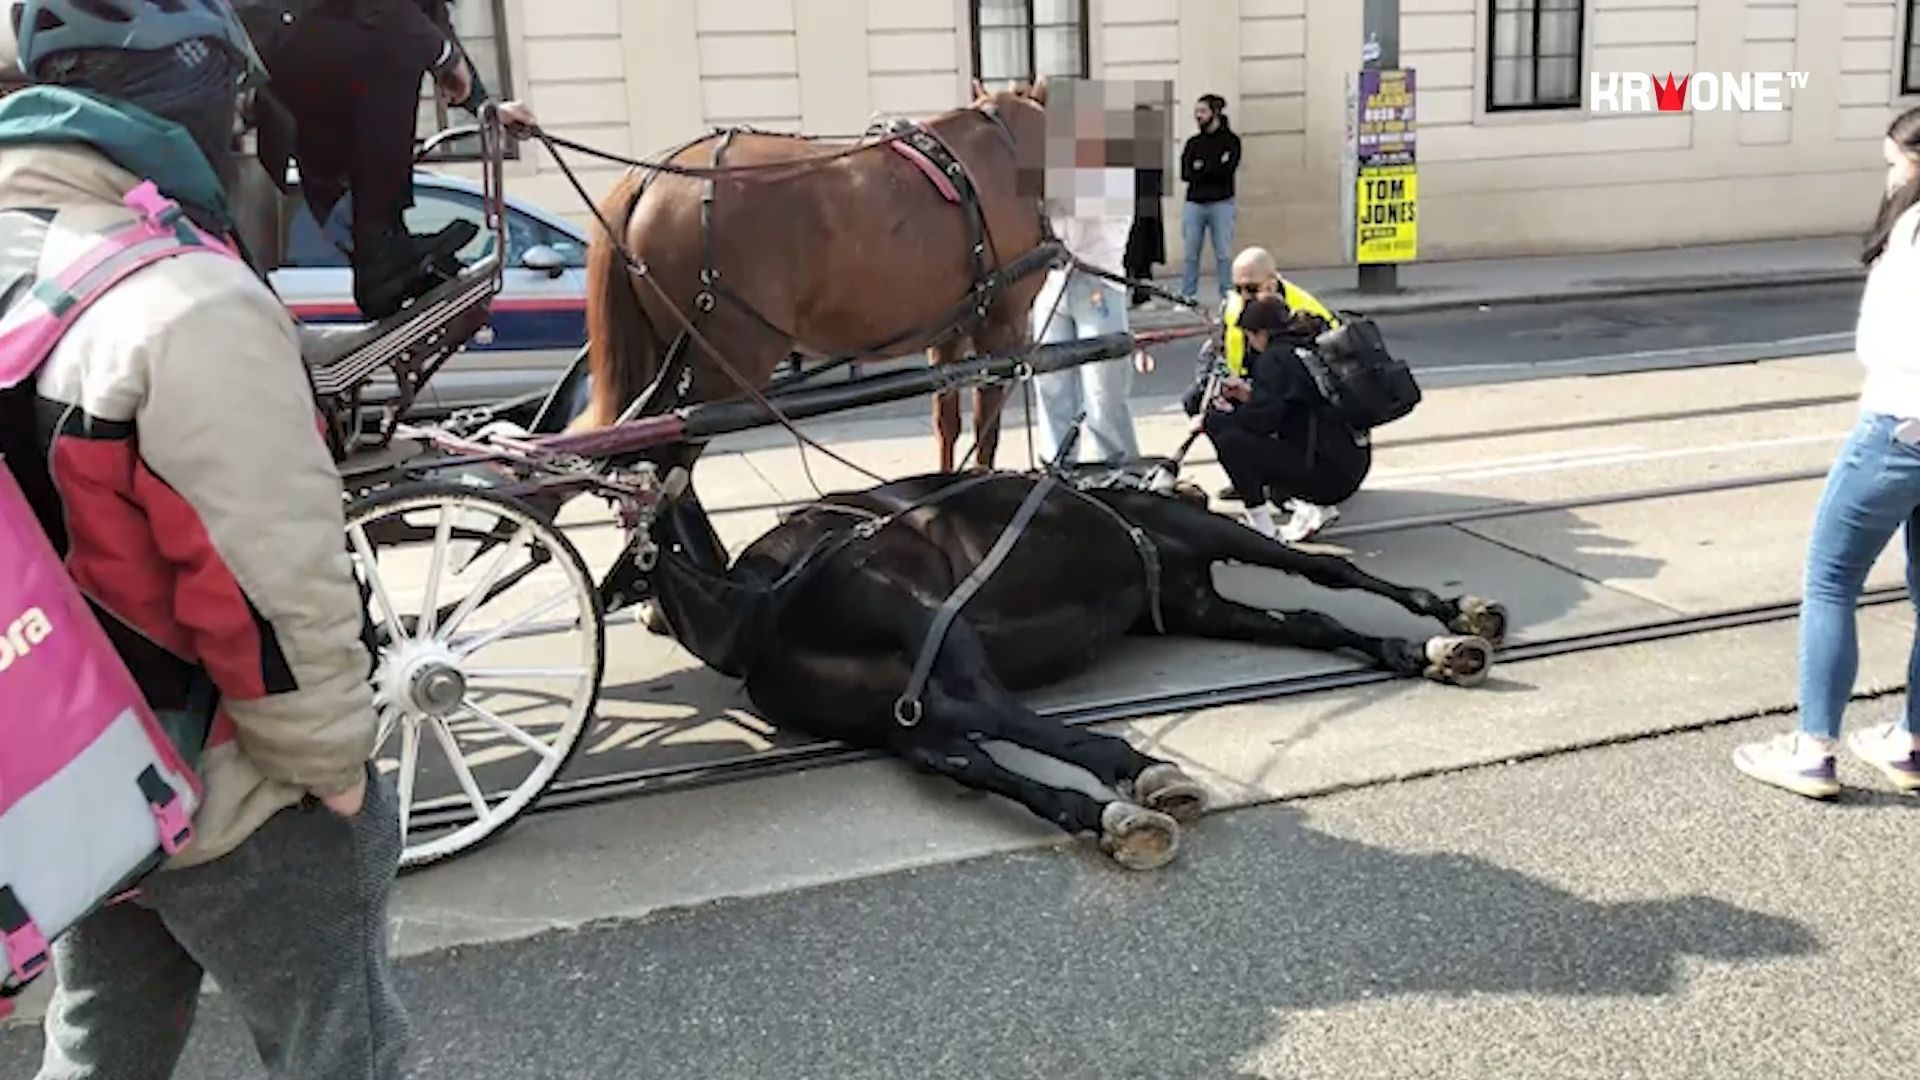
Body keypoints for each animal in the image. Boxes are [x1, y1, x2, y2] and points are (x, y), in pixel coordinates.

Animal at [573, 79, 1056, 475]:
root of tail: (649, 176)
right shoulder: (1001, 325)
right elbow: (986, 429)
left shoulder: (952, 330)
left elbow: (948, 422)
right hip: (721, 365)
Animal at [642, 466, 1509, 870]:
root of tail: (761, 608)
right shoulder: (1203, 541)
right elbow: (1331, 575)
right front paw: (1452, 617)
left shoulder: (1196, 604)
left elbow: (1313, 620)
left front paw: (1417, 646)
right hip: (938, 636)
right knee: (997, 715)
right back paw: (1139, 775)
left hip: (884, 706)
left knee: (957, 751)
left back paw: (1105, 816)